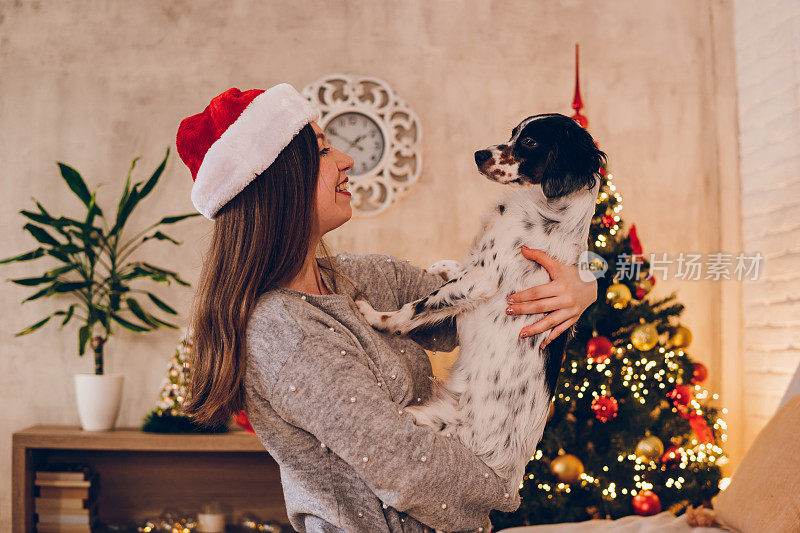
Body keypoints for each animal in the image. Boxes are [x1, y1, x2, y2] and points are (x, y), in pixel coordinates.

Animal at [356, 113, 608, 486]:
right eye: (513, 132)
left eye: (530, 141)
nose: (478, 154)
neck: (548, 212)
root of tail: (507, 472)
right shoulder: (474, 270)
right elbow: (453, 269)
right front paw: (439, 266)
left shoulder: (482, 280)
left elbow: (414, 309)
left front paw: (375, 316)